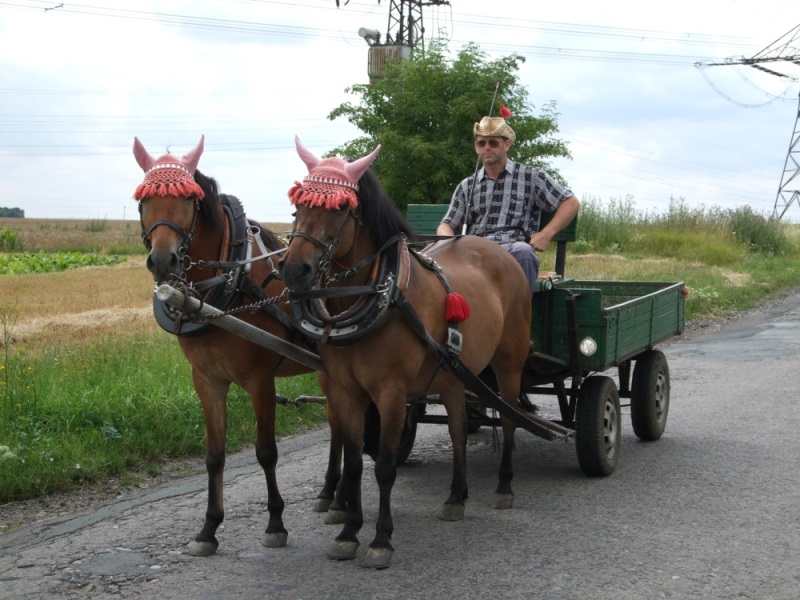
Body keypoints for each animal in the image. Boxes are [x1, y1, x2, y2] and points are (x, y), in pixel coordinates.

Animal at [133, 134, 318, 556]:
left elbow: (266, 451)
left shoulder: (261, 381)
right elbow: (214, 455)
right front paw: (209, 528)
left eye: (189, 200)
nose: (163, 260)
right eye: (142, 201)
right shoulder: (207, 380)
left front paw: (275, 523)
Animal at [278, 137, 536, 572]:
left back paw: (504, 486)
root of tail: (498, 250)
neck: (380, 293)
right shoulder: (345, 390)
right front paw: (347, 532)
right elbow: (353, 463)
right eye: (298, 207)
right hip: (453, 374)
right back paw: (456, 496)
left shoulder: (391, 392)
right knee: (458, 430)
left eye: (341, 209)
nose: (294, 269)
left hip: (509, 363)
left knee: (510, 419)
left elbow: (383, 467)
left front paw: (381, 539)